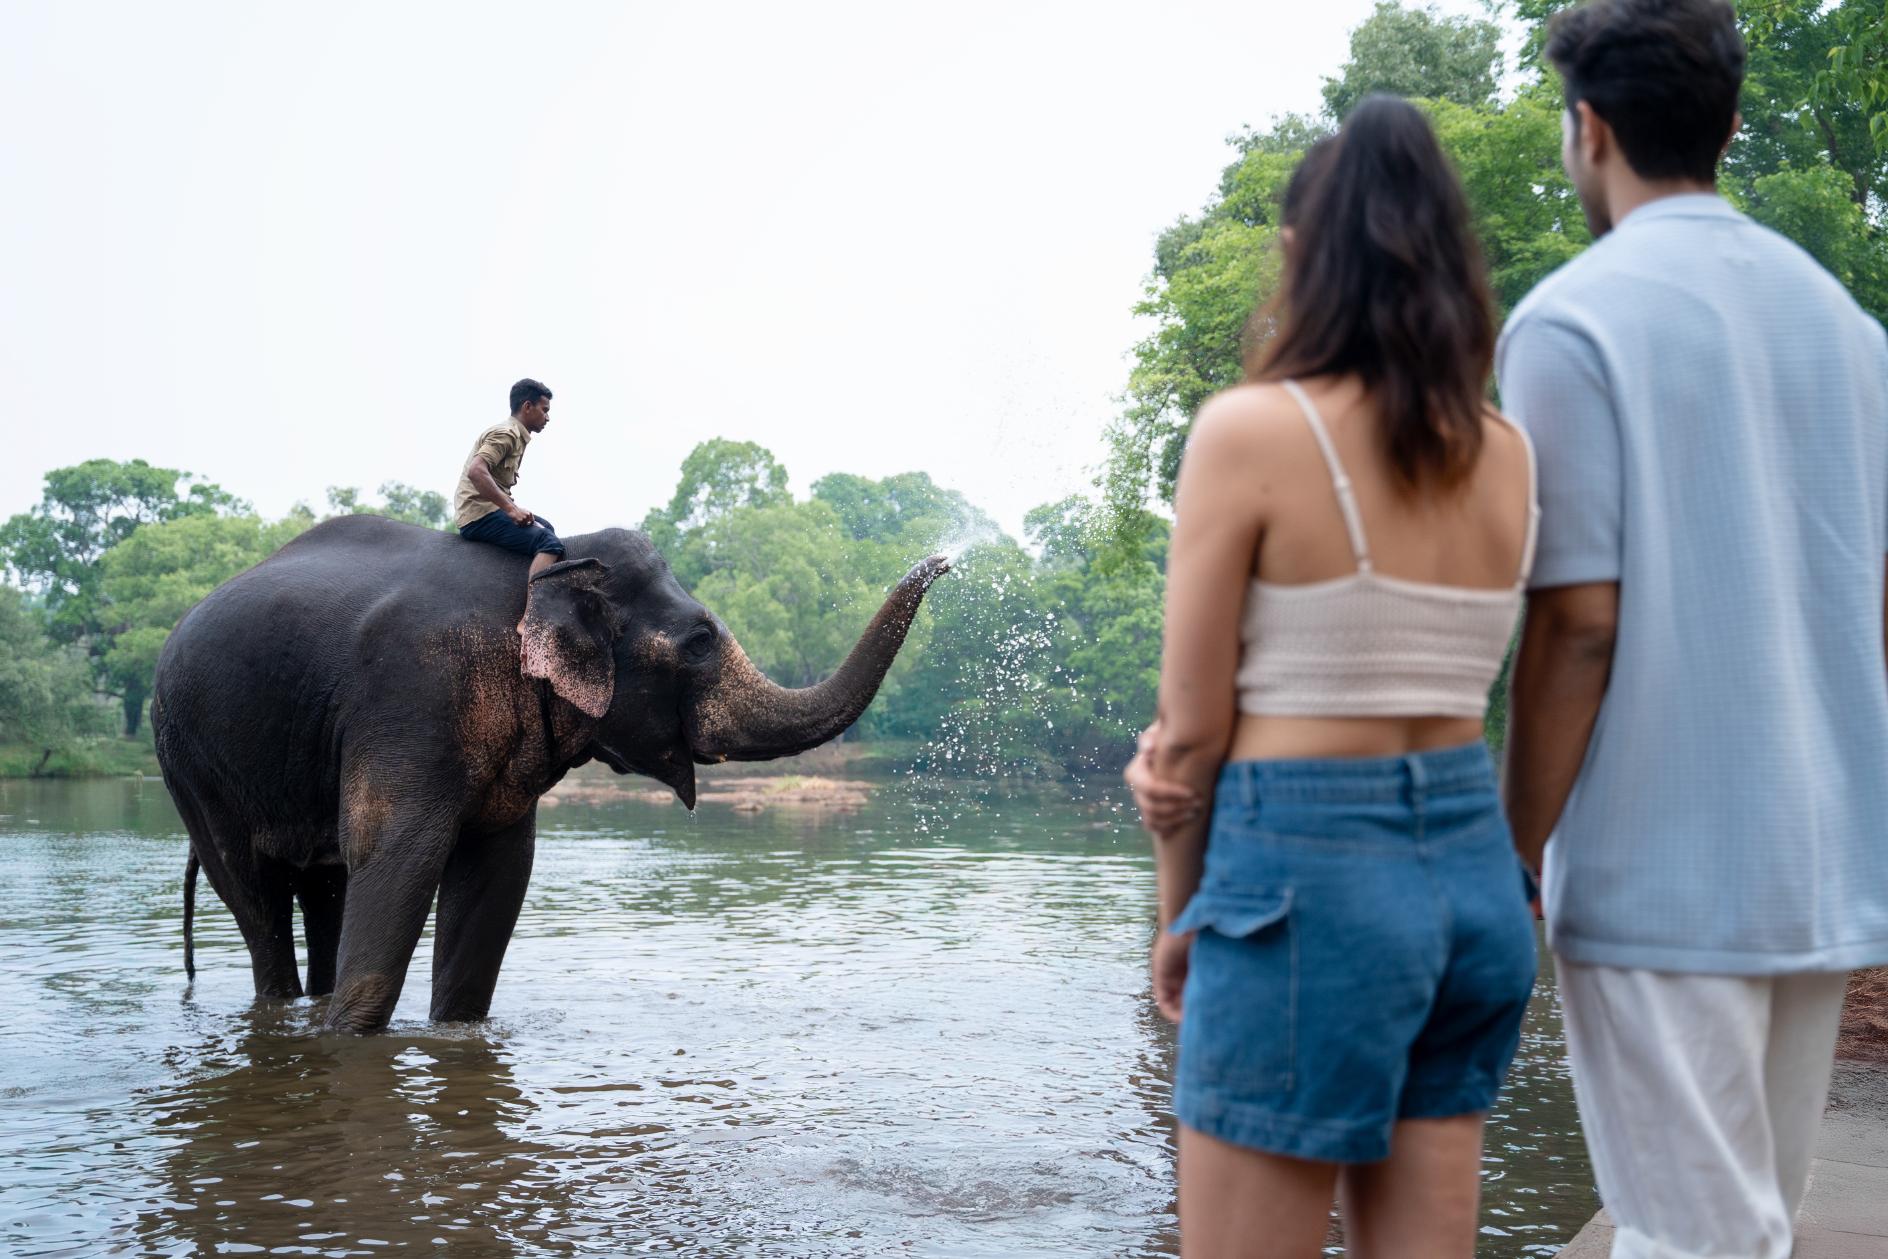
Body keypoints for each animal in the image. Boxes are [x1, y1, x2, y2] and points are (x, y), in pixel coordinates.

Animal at [154, 515, 948, 1033]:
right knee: (254, 894)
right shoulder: (411, 693)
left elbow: (499, 872)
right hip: (187, 760)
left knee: (323, 889)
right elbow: (396, 851)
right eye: (698, 642)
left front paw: (453, 1031)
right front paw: (350, 1038)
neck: (547, 569)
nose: (945, 560)